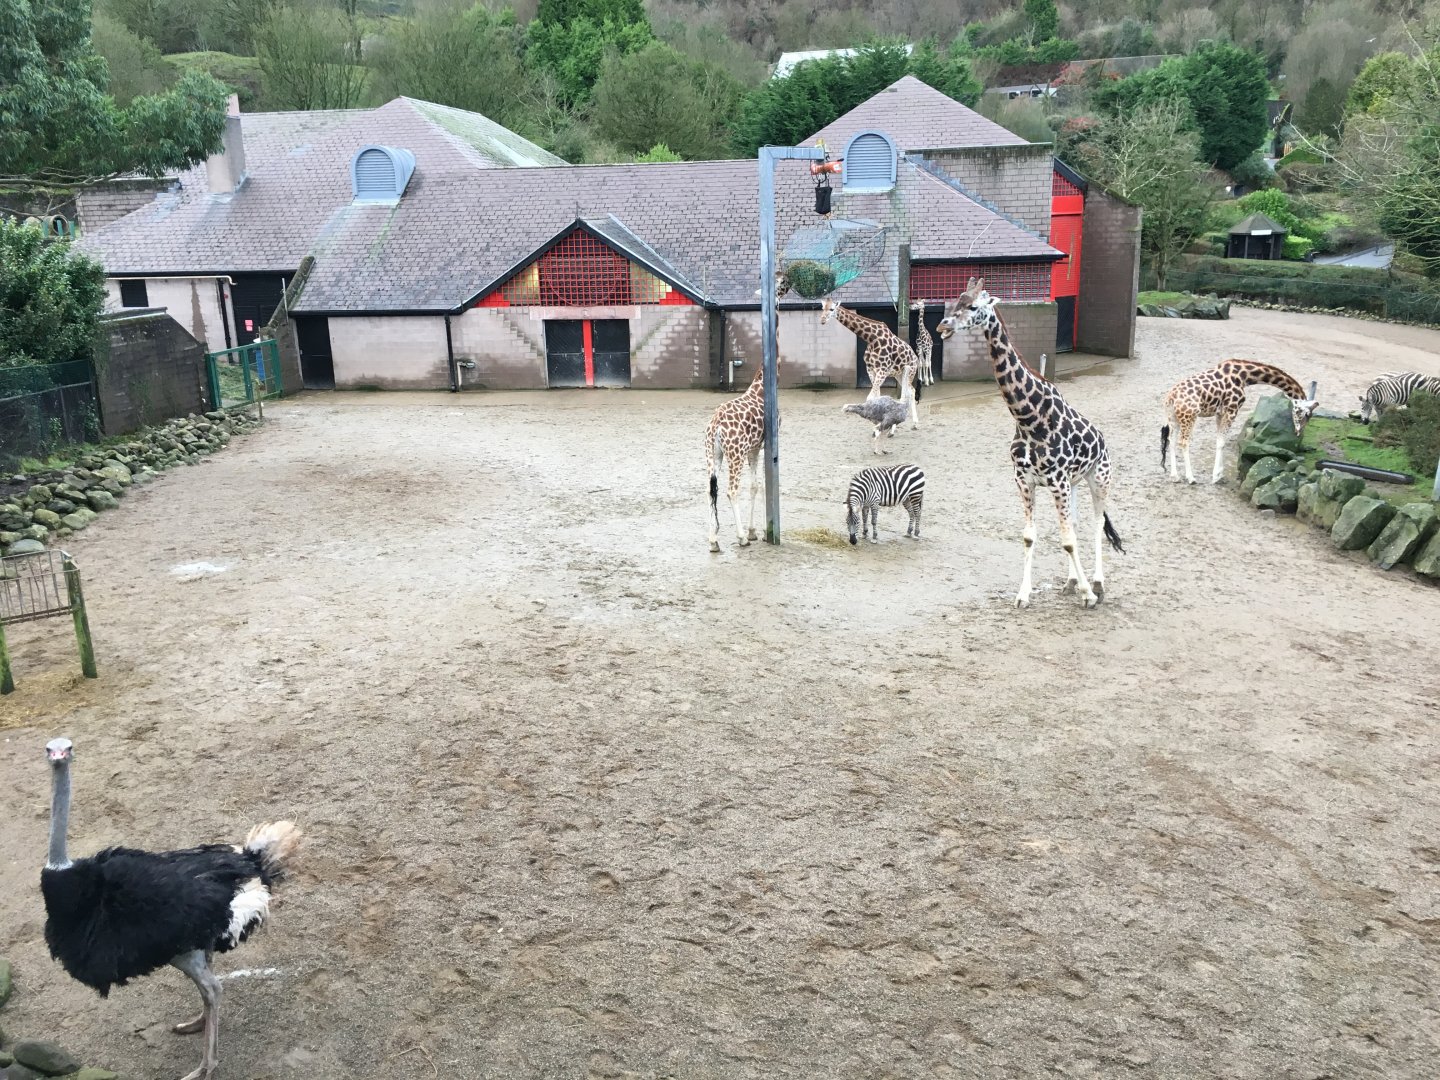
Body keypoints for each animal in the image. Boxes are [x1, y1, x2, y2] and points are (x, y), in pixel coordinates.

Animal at [705, 363, 769, 552]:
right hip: (735, 457)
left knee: (710, 491)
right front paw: (763, 532)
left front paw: (753, 531)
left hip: (713, 456)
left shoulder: (753, 448)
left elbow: (755, 485)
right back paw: (741, 538)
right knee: (732, 491)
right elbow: (763, 485)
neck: (760, 388)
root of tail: (716, 424)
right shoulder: (765, 445)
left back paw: (713, 541)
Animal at [820, 299, 924, 428]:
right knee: (911, 390)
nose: (822, 320)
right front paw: (877, 421)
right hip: (899, 374)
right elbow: (877, 396)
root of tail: (916, 358)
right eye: (822, 308)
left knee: (910, 391)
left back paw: (911, 423)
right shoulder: (870, 369)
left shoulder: (882, 370)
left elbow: (870, 397)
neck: (871, 338)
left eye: (832, 309)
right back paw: (912, 423)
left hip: (910, 372)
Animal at [938, 278, 1124, 609]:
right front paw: (1024, 594)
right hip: (1074, 483)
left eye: (974, 306)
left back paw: (1098, 585)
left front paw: (1088, 594)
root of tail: (1102, 439)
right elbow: (1031, 536)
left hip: (1099, 477)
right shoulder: (1025, 480)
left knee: (1096, 523)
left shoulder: (1057, 480)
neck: (1028, 419)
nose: (942, 326)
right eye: (955, 301)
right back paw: (1071, 582)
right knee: (1076, 524)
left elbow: (1067, 540)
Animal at [1160, 361, 1319, 484]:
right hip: (1190, 416)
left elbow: (1219, 441)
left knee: (1171, 441)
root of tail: (1171, 398)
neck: (1245, 376)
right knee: (1184, 442)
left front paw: (1219, 475)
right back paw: (1191, 478)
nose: (1298, 432)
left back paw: (1175, 476)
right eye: (1306, 414)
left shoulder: (1220, 412)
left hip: (1174, 418)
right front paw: (1216, 476)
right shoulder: (1232, 409)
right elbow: (1221, 442)